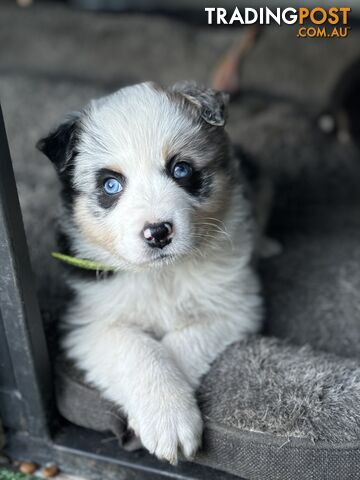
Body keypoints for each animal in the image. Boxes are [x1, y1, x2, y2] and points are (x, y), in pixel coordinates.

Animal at [38, 82, 262, 464]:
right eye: (111, 185)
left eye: (181, 170)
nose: (158, 233)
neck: (163, 274)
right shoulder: (91, 323)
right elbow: (139, 349)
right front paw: (167, 418)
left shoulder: (234, 305)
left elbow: (181, 342)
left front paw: (172, 415)